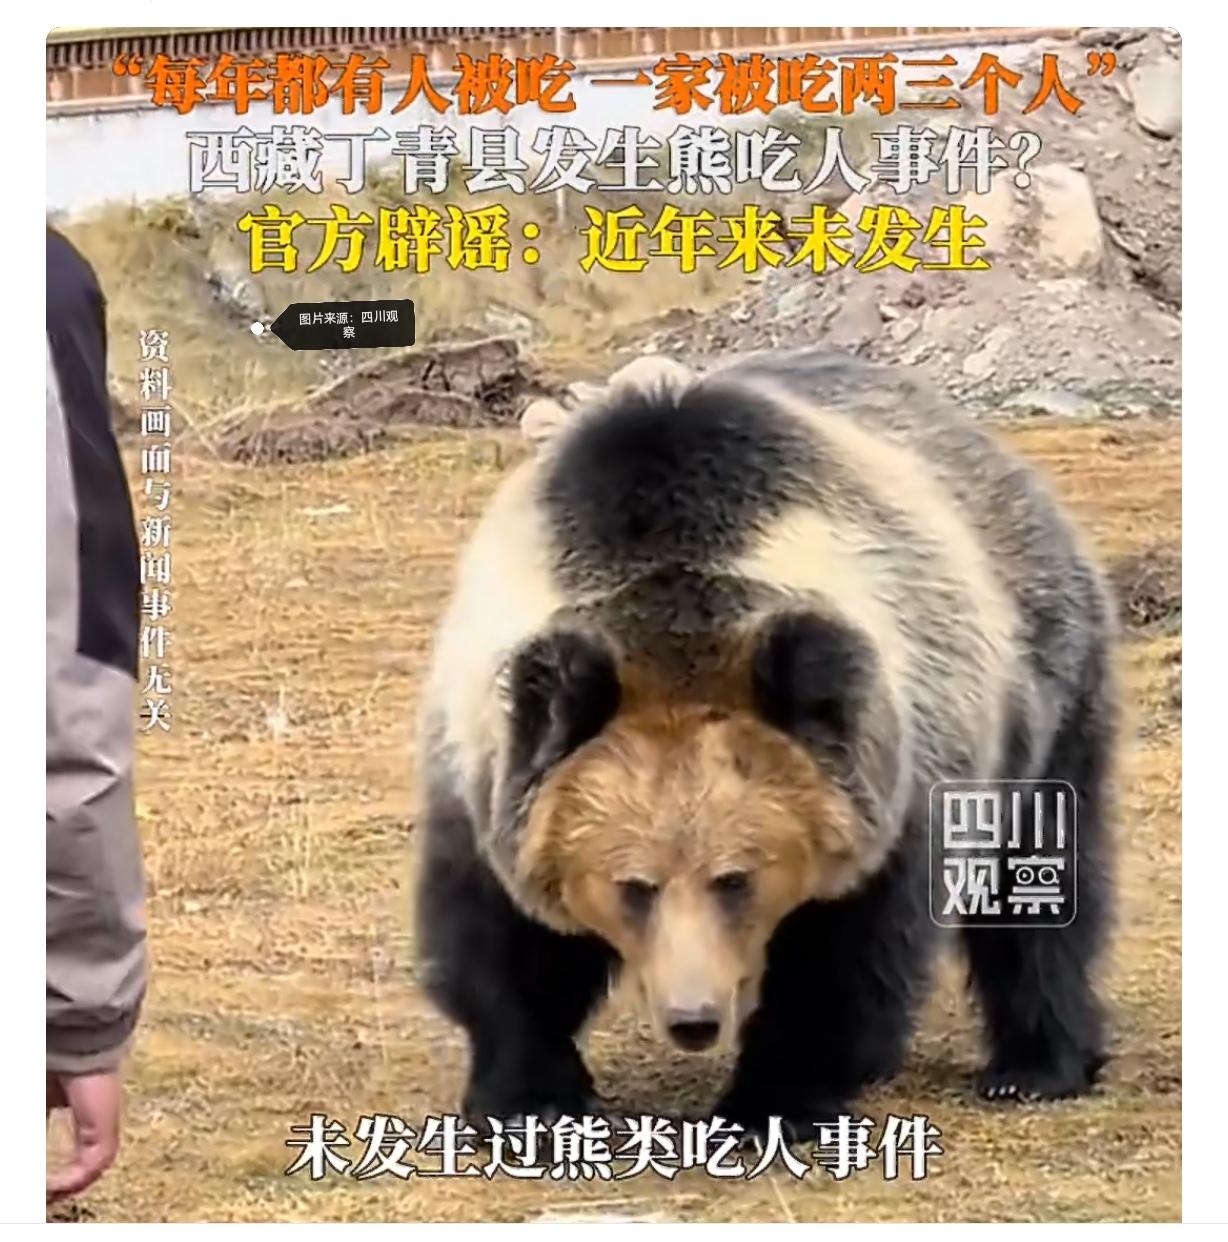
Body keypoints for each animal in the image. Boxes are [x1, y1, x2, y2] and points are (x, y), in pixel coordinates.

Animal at [412, 348, 1116, 1136]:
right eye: (633, 886)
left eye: (736, 878)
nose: (693, 1018)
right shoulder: (486, 765)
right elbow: (503, 944)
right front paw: (532, 1093)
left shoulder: (890, 778)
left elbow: (844, 962)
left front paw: (771, 1098)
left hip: (1046, 688)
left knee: (1042, 893)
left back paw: (1036, 1065)